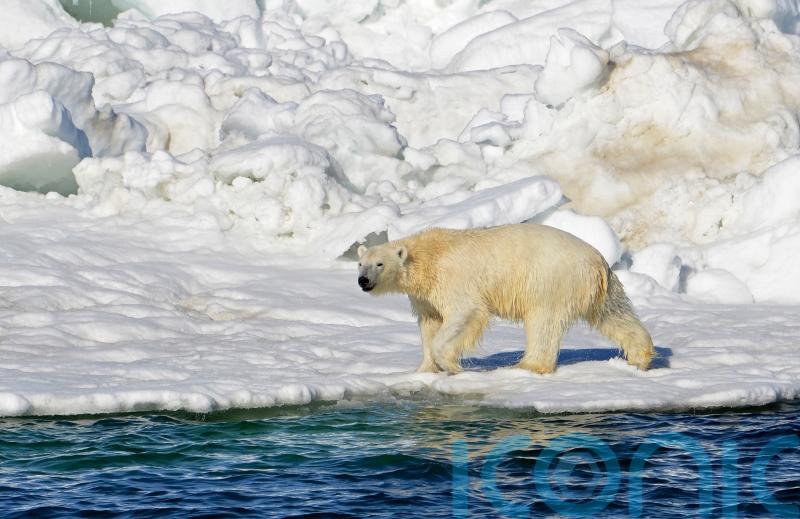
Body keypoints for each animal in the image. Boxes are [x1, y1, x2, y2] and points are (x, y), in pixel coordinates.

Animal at [356, 223, 654, 375]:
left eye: (379, 264)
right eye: (360, 264)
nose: (363, 281)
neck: (428, 256)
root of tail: (597, 261)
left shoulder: (453, 279)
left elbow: (465, 313)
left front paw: (450, 364)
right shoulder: (425, 296)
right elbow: (430, 323)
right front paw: (425, 369)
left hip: (550, 280)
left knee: (543, 323)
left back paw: (527, 365)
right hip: (600, 288)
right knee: (615, 314)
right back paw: (640, 357)